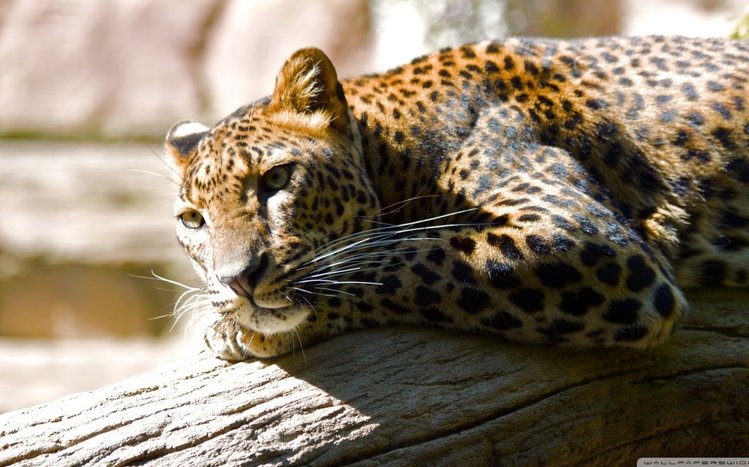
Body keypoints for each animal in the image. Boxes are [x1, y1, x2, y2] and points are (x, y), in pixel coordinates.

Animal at [165, 36, 749, 361]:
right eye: (193, 220)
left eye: (277, 179)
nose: (237, 280)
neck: (394, 148)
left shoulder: (585, 237)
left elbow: (411, 256)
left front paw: (239, 328)